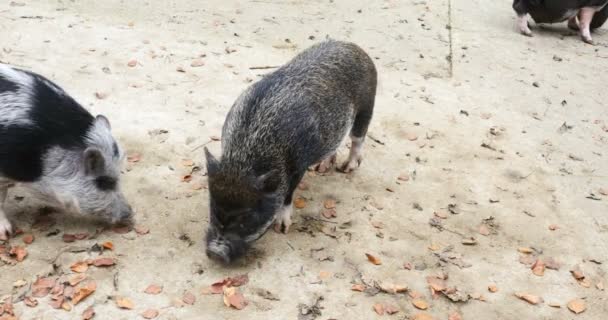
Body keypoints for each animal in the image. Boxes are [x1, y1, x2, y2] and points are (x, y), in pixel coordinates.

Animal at [204, 40, 376, 264]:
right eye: (214, 209)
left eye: (248, 216)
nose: (215, 252)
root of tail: (354, 47)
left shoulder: (297, 166)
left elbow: (287, 195)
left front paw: (282, 229)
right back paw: (322, 168)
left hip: (367, 106)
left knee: (358, 138)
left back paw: (347, 168)